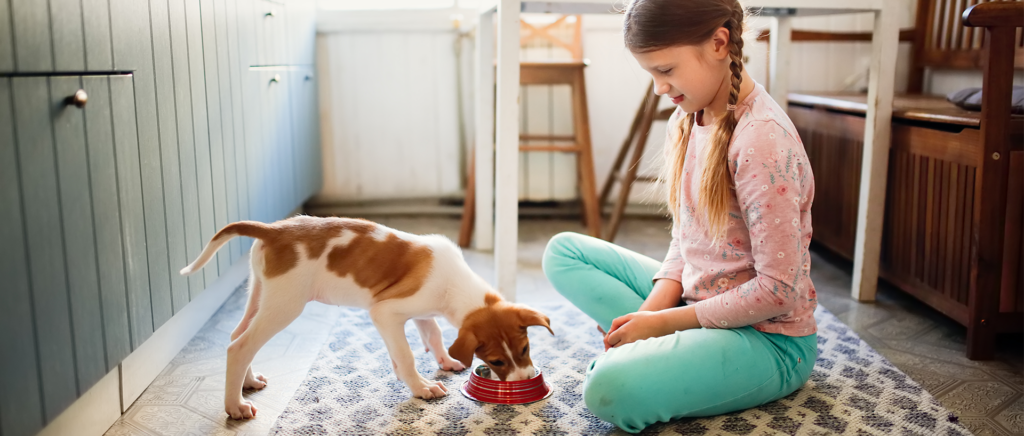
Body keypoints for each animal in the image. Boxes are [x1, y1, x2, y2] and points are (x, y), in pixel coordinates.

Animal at [180, 215, 557, 421]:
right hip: (285, 305)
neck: (455, 283)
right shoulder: (386, 313)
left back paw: (248, 382)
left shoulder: (419, 312)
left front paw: (447, 362)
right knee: (240, 346)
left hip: (261, 294)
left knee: (236, 335)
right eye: (496, 361)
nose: (526, 378)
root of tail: (273, 230)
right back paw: (235, 406)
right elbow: (405, 355)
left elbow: (433, 334)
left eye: (524, 350)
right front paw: (421, 388)